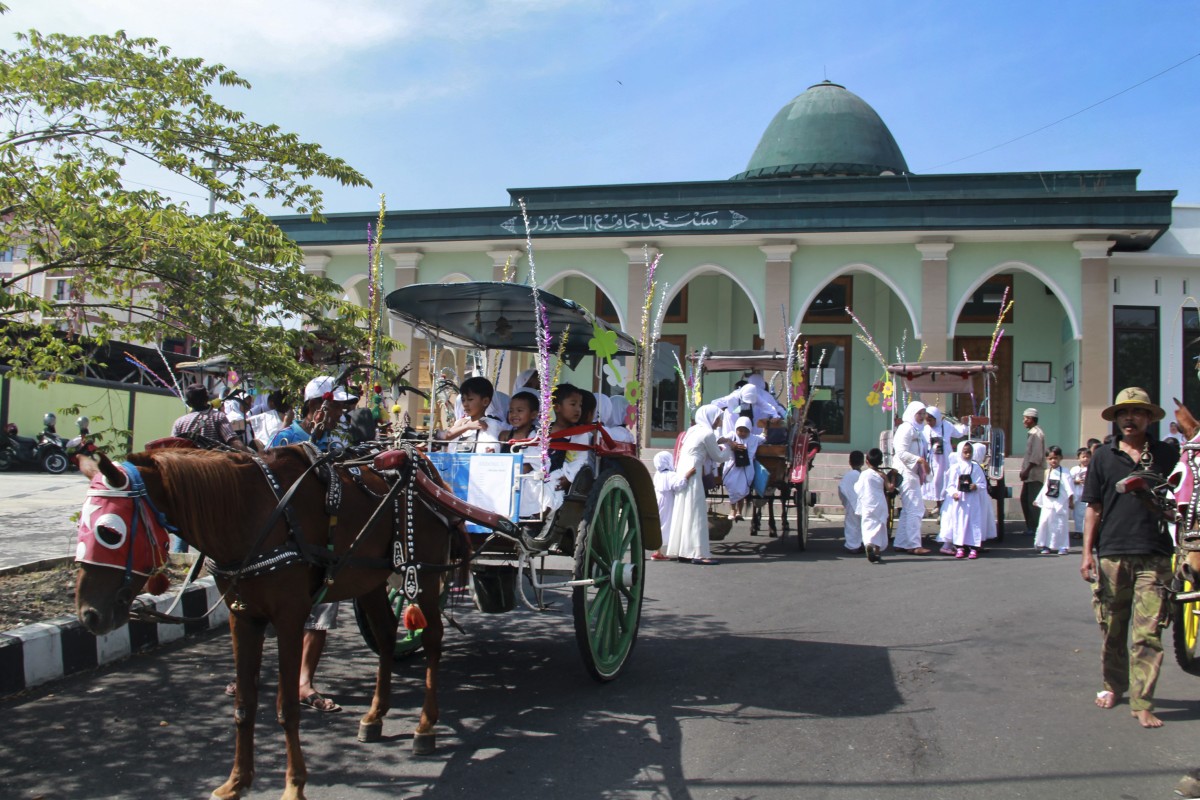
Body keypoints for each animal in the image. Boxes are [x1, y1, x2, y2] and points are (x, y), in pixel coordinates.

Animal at [75, 448, 468, 800]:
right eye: (79, 525)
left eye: (110, 532)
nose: (89, 615)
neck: (248, 514)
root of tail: (429, 471)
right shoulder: (243, 616)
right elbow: (244, 705)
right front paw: (236, 782)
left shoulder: (290, 617)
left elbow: (287, 708)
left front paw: (294, 786)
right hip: (370, 580)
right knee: (386, 637)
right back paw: (374, 716)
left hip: (425, 576)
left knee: (433, 639)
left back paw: (425, 725)